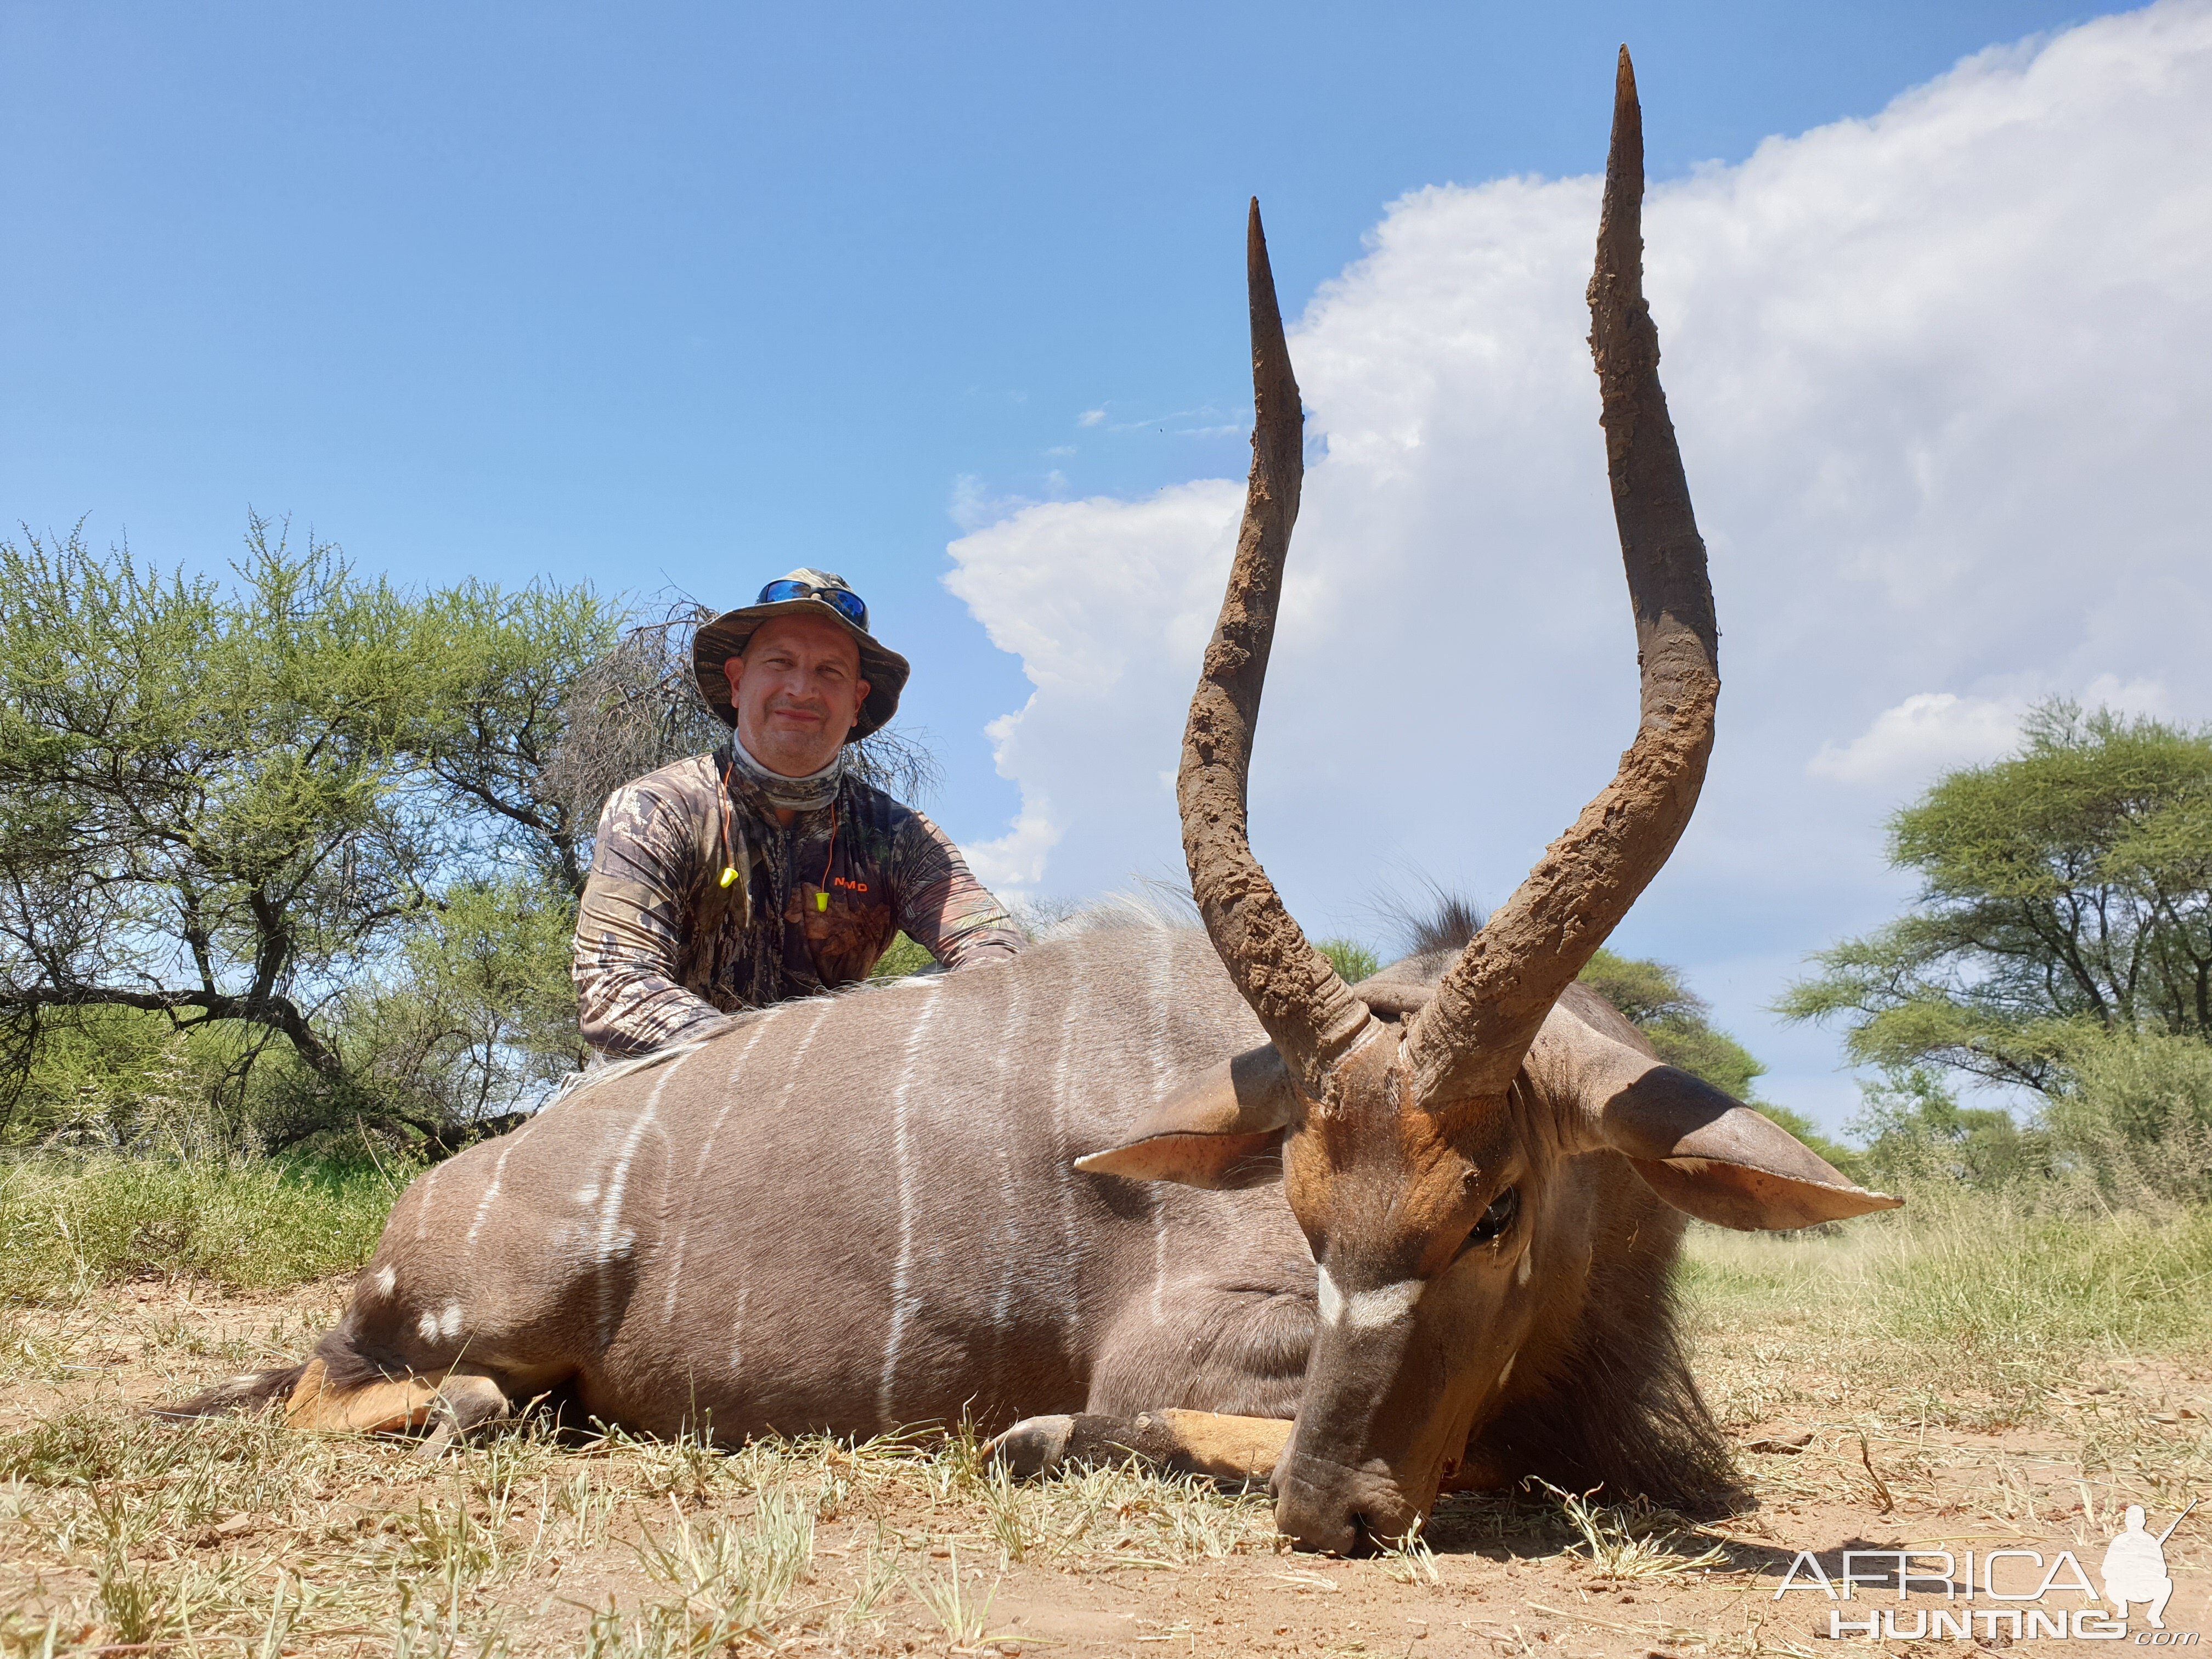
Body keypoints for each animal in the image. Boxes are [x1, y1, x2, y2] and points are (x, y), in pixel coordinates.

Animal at [177, 55, 1902, 1557]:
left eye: (1500, 1209)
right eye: (1299, 1205)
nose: (1331, 1511)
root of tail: (443, 1198)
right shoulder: (1196, 1356)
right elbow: (1194, 1432)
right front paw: (1046, 1433)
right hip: (462, 1336)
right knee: (421, 1397)